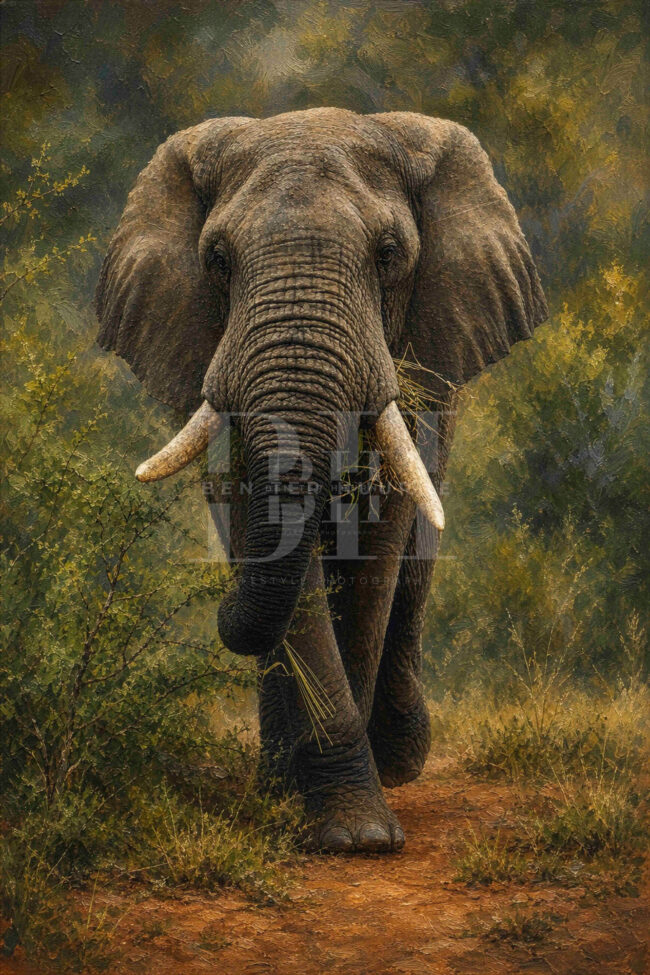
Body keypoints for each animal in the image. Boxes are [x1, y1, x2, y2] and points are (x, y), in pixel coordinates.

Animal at [96, 108, 547, 853]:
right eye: (216, 259)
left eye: (389, 253)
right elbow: (269, 538)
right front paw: (334, 821)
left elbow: (378, 544)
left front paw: (358, 832)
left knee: (412, 572)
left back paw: (396, 761)